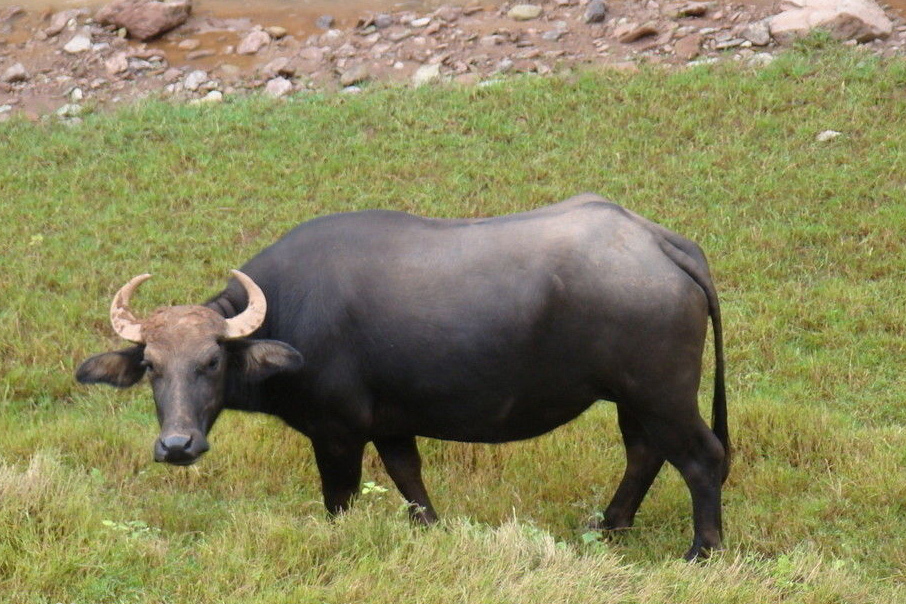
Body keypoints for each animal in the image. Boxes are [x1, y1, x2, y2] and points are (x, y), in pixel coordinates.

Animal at [77, 195, 728, 560]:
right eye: (152, 366)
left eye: (211, 361)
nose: (177, 445)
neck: (290, 311)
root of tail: (656, 241)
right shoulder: (391, 424)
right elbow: (409, 478)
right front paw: (432, 530)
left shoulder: (336, 432)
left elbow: (339, 498)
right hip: (631, 396)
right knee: (644, 452)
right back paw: (611, 526)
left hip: (662, 391)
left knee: (702, 458)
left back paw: (702, 551)